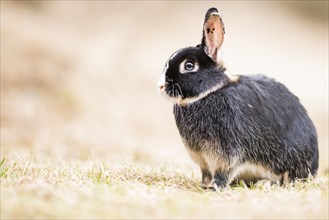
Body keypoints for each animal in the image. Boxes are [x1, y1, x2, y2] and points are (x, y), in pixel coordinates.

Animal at [158, 6, 316, 189]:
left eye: (189, 66)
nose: (160, 86)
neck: (211, 92)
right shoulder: (203, 159)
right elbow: (206, 173)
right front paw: (204, 185)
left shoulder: (228, 153)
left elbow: (223, 172)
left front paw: (214, 187)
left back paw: (265, 183)